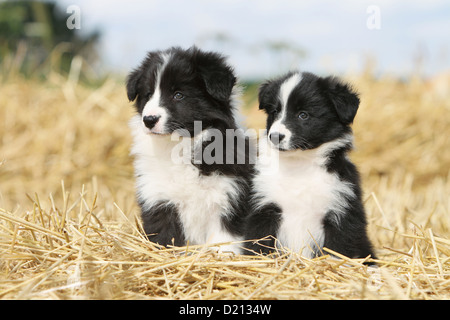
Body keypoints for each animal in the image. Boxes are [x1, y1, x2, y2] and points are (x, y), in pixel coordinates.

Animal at [125, 46, 253, 254]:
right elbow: (165, 236)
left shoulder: (229, 196)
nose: (149, 120)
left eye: (178, 95)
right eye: (148, 95)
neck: (180, 146)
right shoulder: (158, 197)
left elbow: (224, 240)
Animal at [244, 70, 374, 260]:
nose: (275, 136)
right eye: (275, 111)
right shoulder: (265, 208)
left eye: (303, 115)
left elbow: (337, 249)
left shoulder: (341, 211)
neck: (299, 164)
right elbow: (260, 244)